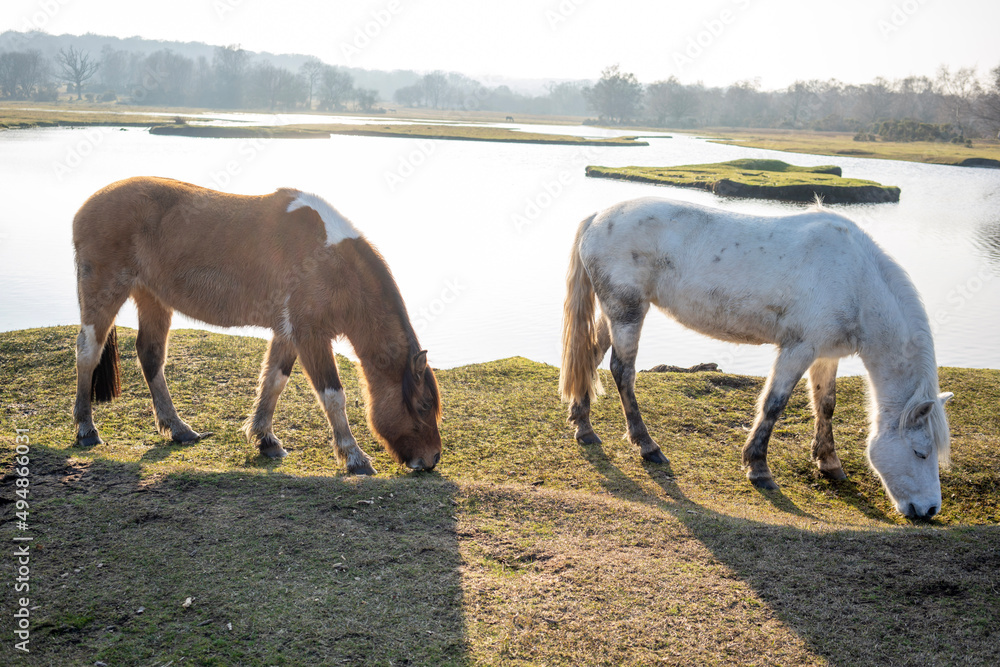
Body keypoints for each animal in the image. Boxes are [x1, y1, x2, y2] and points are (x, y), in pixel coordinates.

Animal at [72, 176, 442, 475]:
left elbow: (273, 382)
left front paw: (266, 440)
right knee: (88, 352)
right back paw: (86, 429)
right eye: (424, 405)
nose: (432, 459)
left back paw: (179, 429)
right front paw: (355, 457)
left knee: (150, 357)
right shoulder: (310, 335)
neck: (328, 261)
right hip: (104, 293)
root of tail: (86, 206)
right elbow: (333, 395)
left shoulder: (287, 334)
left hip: (152, 298)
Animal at [560, 197, 953, 519]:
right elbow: (774, 404)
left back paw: (584, 427)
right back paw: (647, 446)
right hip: (628, 312)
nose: (929, 510)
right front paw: (759, 468)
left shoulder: (825, 355)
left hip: (616, 314)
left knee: (590, 357)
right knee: (622, 371)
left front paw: (829, 463)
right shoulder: (798, 348)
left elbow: (825, 404)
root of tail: (597, 217)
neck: (856, 279)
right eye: (920, 452)